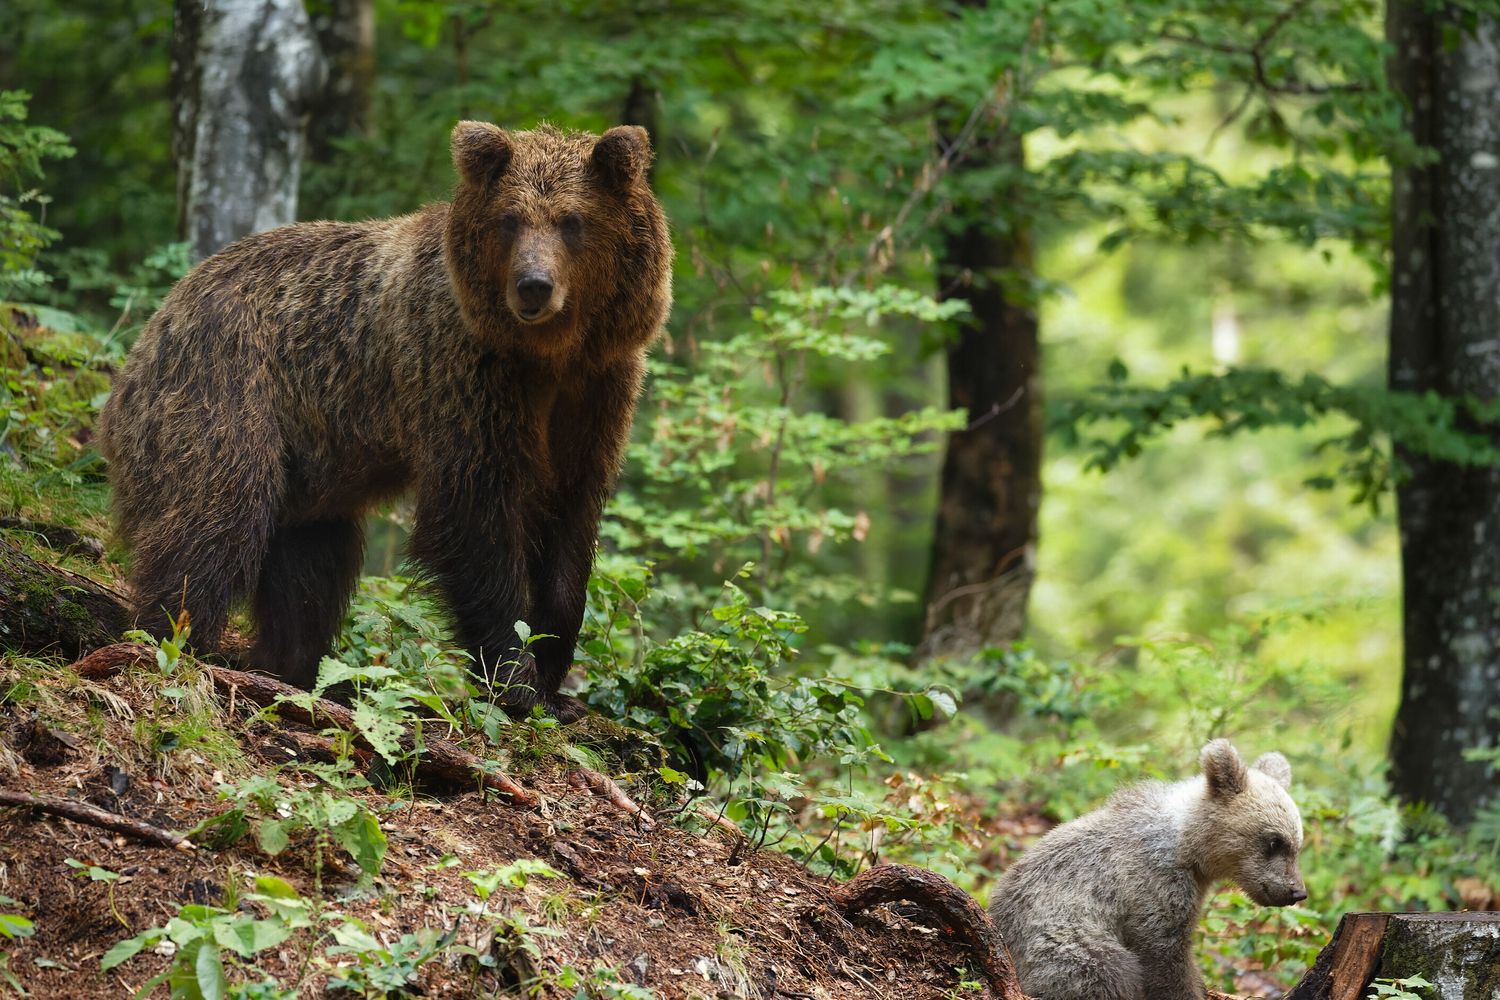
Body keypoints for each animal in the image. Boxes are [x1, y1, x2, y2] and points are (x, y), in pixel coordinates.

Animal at [97, 122, 673, 722]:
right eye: (510, 219)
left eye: (572, 220)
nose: (533, 285)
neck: (548, 354)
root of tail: (153, 327)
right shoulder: (466, 378)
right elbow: (476, 519)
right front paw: (516, 680)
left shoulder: (597, 390)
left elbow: (569, 528)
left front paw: (556, 677)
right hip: (224, 386)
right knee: (215, 516)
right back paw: (174, 639)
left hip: (311, 475)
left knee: (310, 570)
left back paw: (287, 665)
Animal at [987, 739, 1306, 1000]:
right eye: (1275, 841)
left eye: (1297, 844)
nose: (1296, 892)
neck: (1187, 846)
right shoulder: (1154, 885)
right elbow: (1164, 956)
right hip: (1062, 939)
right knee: (1106, 972)